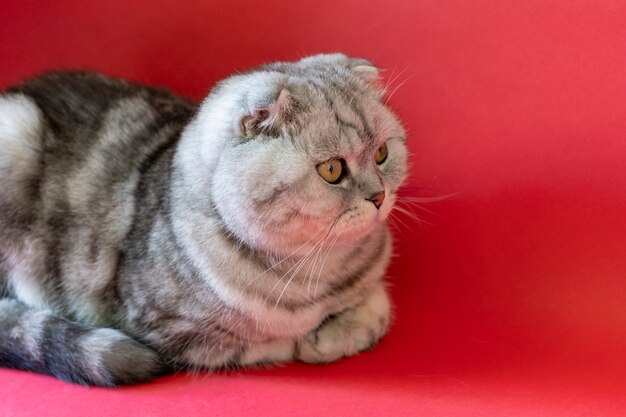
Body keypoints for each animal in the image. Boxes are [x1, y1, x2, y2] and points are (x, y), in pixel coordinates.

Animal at [0, 53, 408, 386]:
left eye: (382, 153)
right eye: (332, 169)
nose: (379, 196)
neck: (322, 274)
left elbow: (379, 303)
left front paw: (346, 330)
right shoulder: (170, 332)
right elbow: (276, 341)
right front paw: (320, 339)